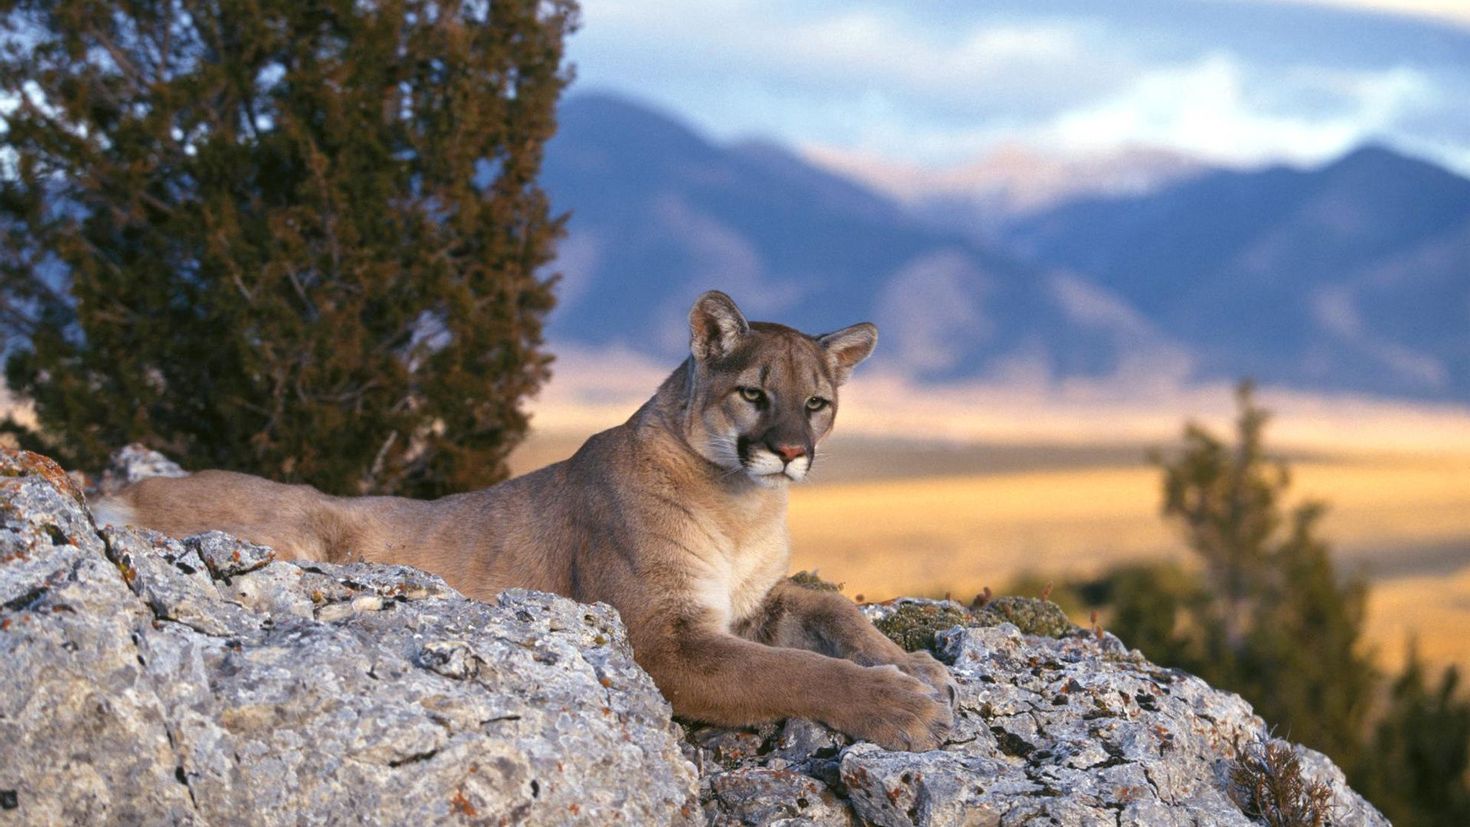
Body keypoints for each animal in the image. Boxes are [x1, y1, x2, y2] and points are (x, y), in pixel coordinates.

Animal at [97, 290, 958, 752]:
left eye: (816, 402)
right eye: (753, 392)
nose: (789, 450)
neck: (746, 504)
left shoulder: (747, 603)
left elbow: (829, 603)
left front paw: (917, 666)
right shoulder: (665, 637)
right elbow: (794, 671)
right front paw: (902, 705)